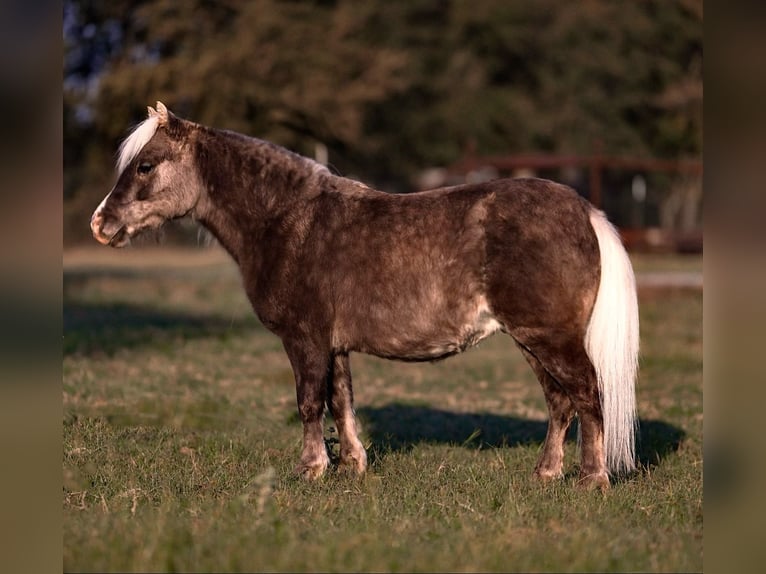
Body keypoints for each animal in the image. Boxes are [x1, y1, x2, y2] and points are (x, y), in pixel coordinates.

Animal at [91, 102, 640, 490]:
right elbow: (341, 401)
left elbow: (310, 402)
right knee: (560, 402)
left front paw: (310, 469)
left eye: (145, 166)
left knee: (587, 393)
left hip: (550, 338)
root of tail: (584, 210)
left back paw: (593, 479)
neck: (287, 220)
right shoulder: (333, 346)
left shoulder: (305, 341)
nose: (101, 224)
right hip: (530, 341)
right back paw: (546, 474)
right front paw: (351, 465)